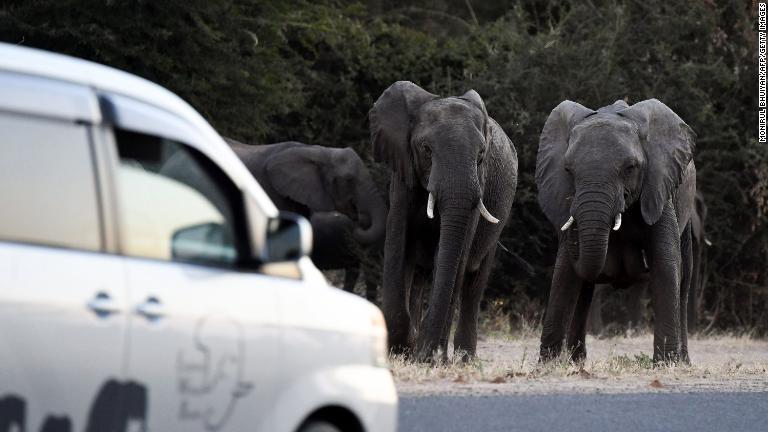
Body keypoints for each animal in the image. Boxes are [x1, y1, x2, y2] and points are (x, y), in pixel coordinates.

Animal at [368, 80, 520, 362]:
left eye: (481, 154)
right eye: (426, 149)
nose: (429, 354)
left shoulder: (479, 184)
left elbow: (453, 257)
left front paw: (426, 355)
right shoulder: (403, 174)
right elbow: (397, 245)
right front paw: (400, 349)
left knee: (472, 283)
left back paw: (461, 359)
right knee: (418, 276)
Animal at [536, 98, 696, 364]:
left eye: (630, 167)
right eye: (568, 169)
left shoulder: (658, 190)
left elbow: (666, 264)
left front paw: (665, 364)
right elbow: (564, 273)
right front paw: (547, 365)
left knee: (683, 282)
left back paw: (683, 361)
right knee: (584, 291)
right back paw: (576, 361)